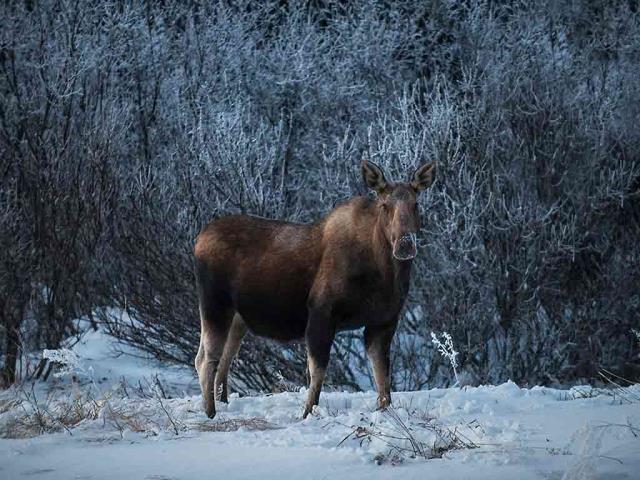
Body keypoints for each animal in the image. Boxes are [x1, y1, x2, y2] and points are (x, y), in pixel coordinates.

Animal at [193, 159, 436, 418]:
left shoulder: (383, 322)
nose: (405, 244)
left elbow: (383, 378)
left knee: (221, 358)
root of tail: (198, 240)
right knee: (207, 358)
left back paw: (222, 403)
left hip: (237, 319)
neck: (385, 275)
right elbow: (317, 372)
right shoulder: (322, 312)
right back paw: (210, 412)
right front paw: (307, 413)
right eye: (384, 205)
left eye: (416, 204)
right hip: (214, 305)